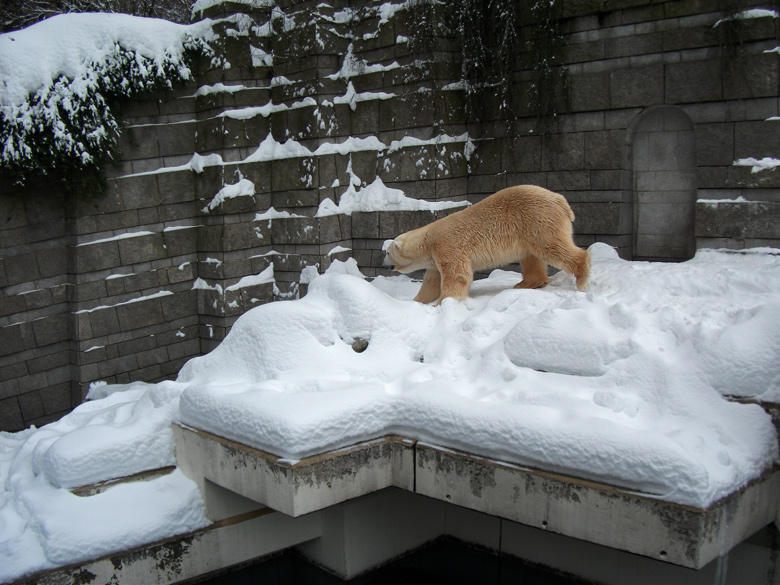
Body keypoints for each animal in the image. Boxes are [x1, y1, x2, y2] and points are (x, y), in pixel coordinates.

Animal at [384, 185, 592, 304]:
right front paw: (417, 301)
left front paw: (443, 303)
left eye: (386, 252)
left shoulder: (447, 245)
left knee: (552, 247)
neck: (429, 239)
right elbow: (431, 282)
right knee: (531, 256)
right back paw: (527, 283)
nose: (384, 265)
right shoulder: (435, 258)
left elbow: (457, 276)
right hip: (528, 229)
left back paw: (582, 277)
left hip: (537, 219)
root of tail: (561, 201)